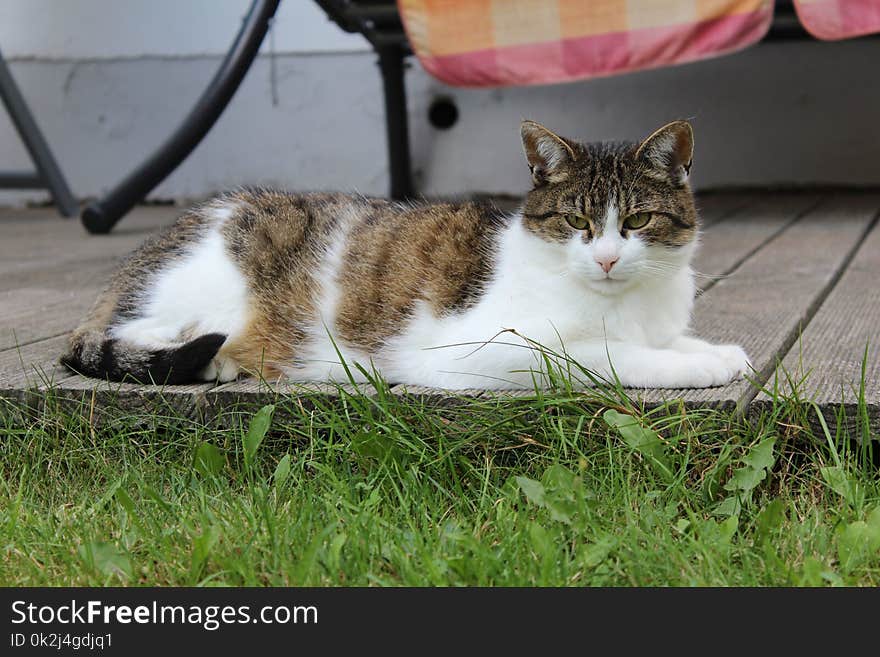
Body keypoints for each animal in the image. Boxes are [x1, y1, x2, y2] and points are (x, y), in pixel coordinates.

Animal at [62, 120, 748, 386]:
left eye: (637, 220)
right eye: (577, 221)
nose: (606, 258)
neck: (624, 302)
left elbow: (666, 341)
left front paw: (714, 352)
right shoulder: (481, 349)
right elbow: (604, 356)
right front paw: (694, 367)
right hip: (208, 285)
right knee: (130, 333)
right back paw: (215, 358)